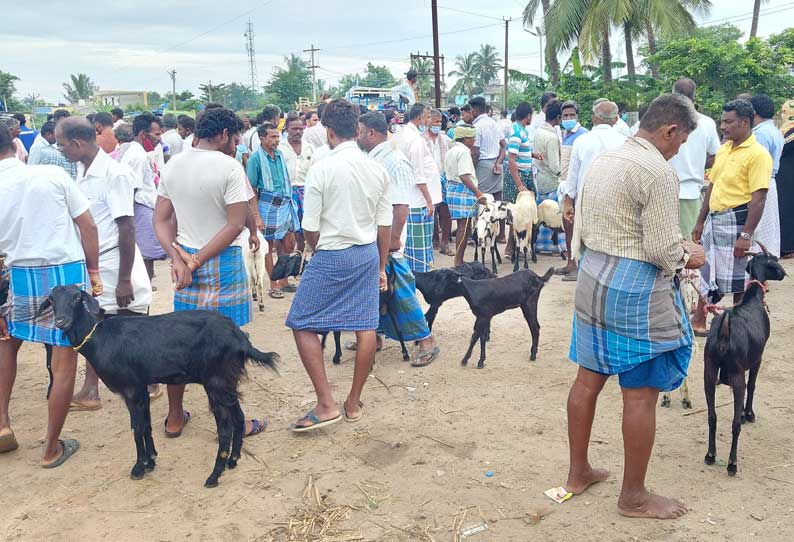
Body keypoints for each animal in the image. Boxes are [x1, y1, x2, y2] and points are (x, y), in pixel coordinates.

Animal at [42, 286, 282, 490]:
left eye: (76, 297)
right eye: (51, 300)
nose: (61, 321)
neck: (99, 338)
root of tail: (239, 338)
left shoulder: (131, 389)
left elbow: (137, 428)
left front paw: (138, 467)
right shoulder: (141, 389)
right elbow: (146, 426)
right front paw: (151, 461)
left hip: (215, 382)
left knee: (225, 427)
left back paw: (214, 475)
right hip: (227, 381)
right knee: (239, 417)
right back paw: (233, 460)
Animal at [704, 249, 784, 478]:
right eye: (773, 261)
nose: (783, 274)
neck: (753, 299)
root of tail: (723, 335)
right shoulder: (758, 358)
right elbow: (753, 384)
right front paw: (748, 413)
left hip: (709, 371)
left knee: (712, 416)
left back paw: (710, 455)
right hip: (736, 373)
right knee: (735, 424)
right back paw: (732, 463)